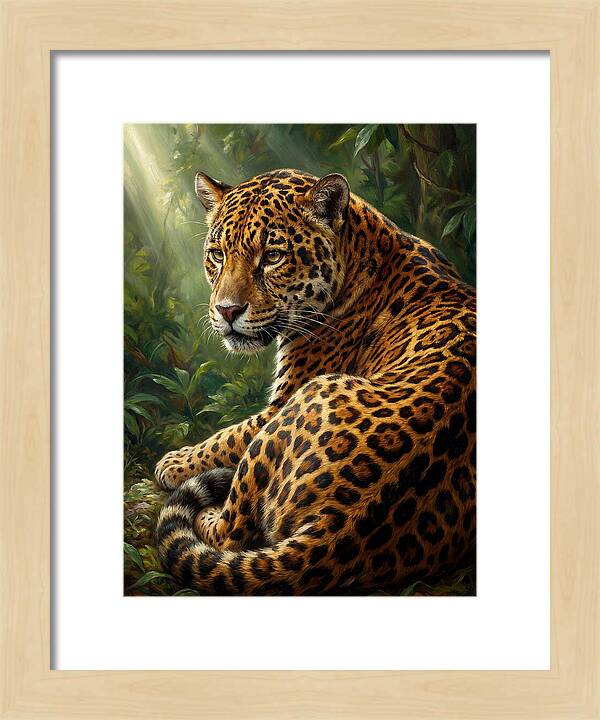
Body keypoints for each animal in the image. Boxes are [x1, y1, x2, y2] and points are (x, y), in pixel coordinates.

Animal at [155, 168, 476, 595]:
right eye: (218, 254)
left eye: (273, 256)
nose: (227, 311)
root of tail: (338, 530)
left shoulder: (281, 401)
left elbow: (227, 437)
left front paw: (174, 462)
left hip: (304, 400)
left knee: (230, 533)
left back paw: (208, 511)